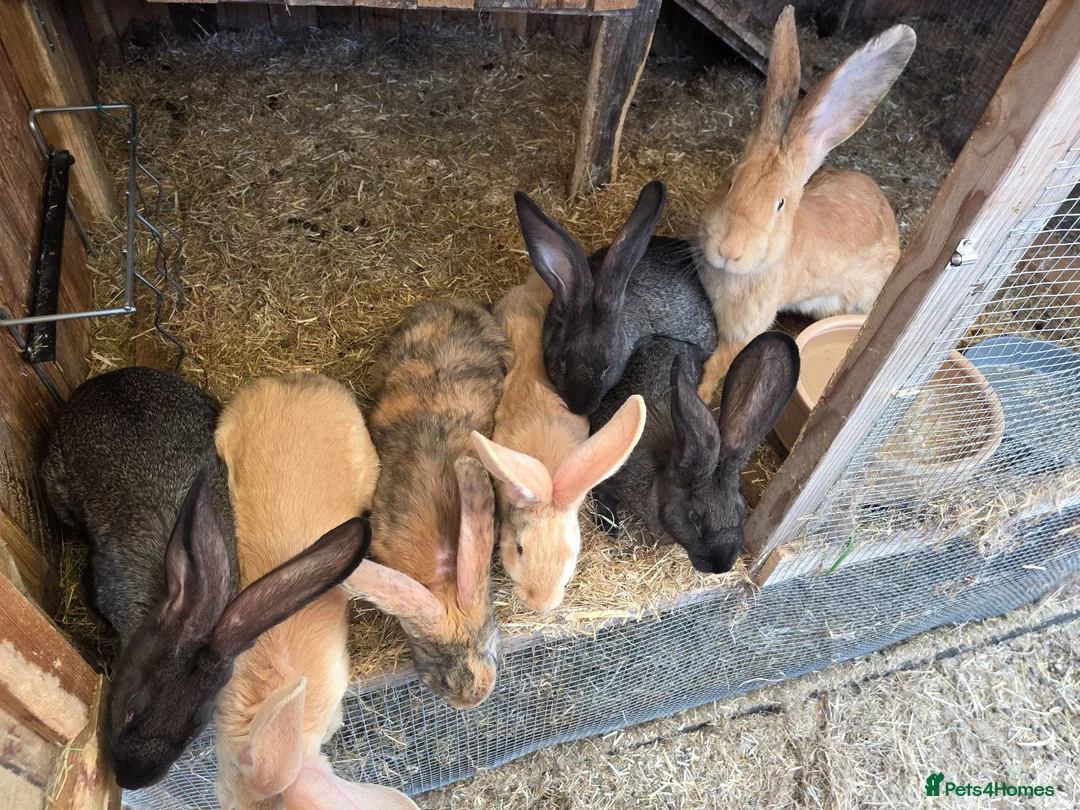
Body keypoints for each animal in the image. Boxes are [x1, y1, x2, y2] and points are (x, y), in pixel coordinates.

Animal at [697, 6, 915, 393]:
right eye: (731, 181)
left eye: (780, 204)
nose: (728, 250)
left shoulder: (744, 329)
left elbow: (718, 363)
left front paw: (700, 392)